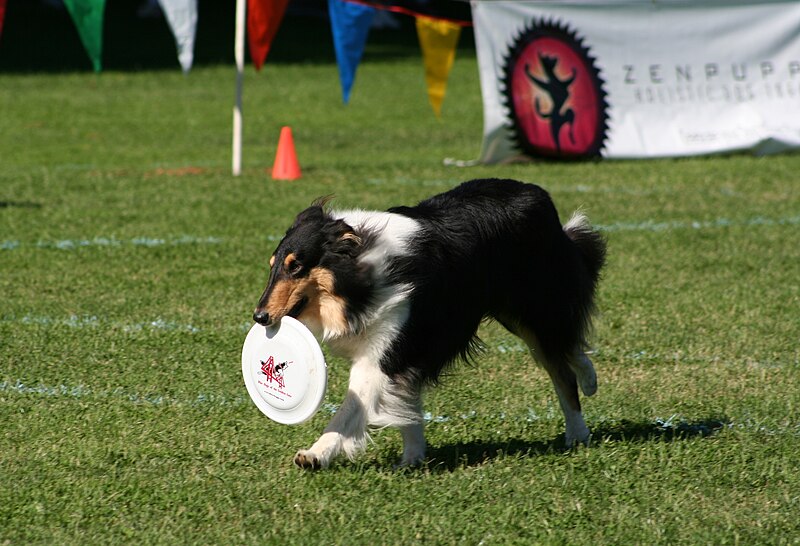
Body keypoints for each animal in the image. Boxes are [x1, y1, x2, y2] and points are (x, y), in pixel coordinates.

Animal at [253, 178, 604, 468]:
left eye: (296, 266)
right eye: (272, 266)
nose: (259, 317)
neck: (361, 272)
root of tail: (537, 193)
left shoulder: (381, 358)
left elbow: (349, 410)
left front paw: (315, 454)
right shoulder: (402, 356)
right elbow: (409, 410)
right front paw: (413, 458)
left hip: (536, 310)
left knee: (563, 365)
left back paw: (579, 429)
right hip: (518, 315)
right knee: (566, 350)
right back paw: (588, 385)